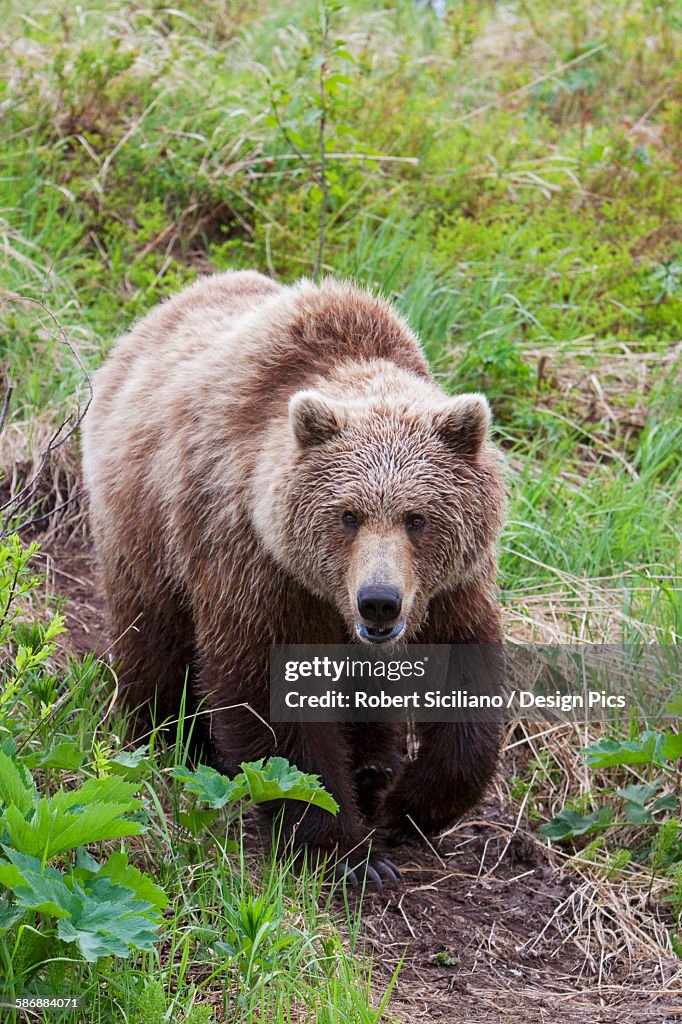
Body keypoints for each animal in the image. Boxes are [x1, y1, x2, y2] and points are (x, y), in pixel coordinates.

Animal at [80, 270, 503, 880]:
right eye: (348, 515)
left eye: (417, 518)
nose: (379, 601)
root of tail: (150, 320)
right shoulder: (254, 561)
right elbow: (272, 700)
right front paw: (350, 851)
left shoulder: (450, 587)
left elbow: (466, 685)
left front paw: (402, 808)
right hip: (145, 530)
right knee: (153, 638)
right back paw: (170, 739)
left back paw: (373, 767)